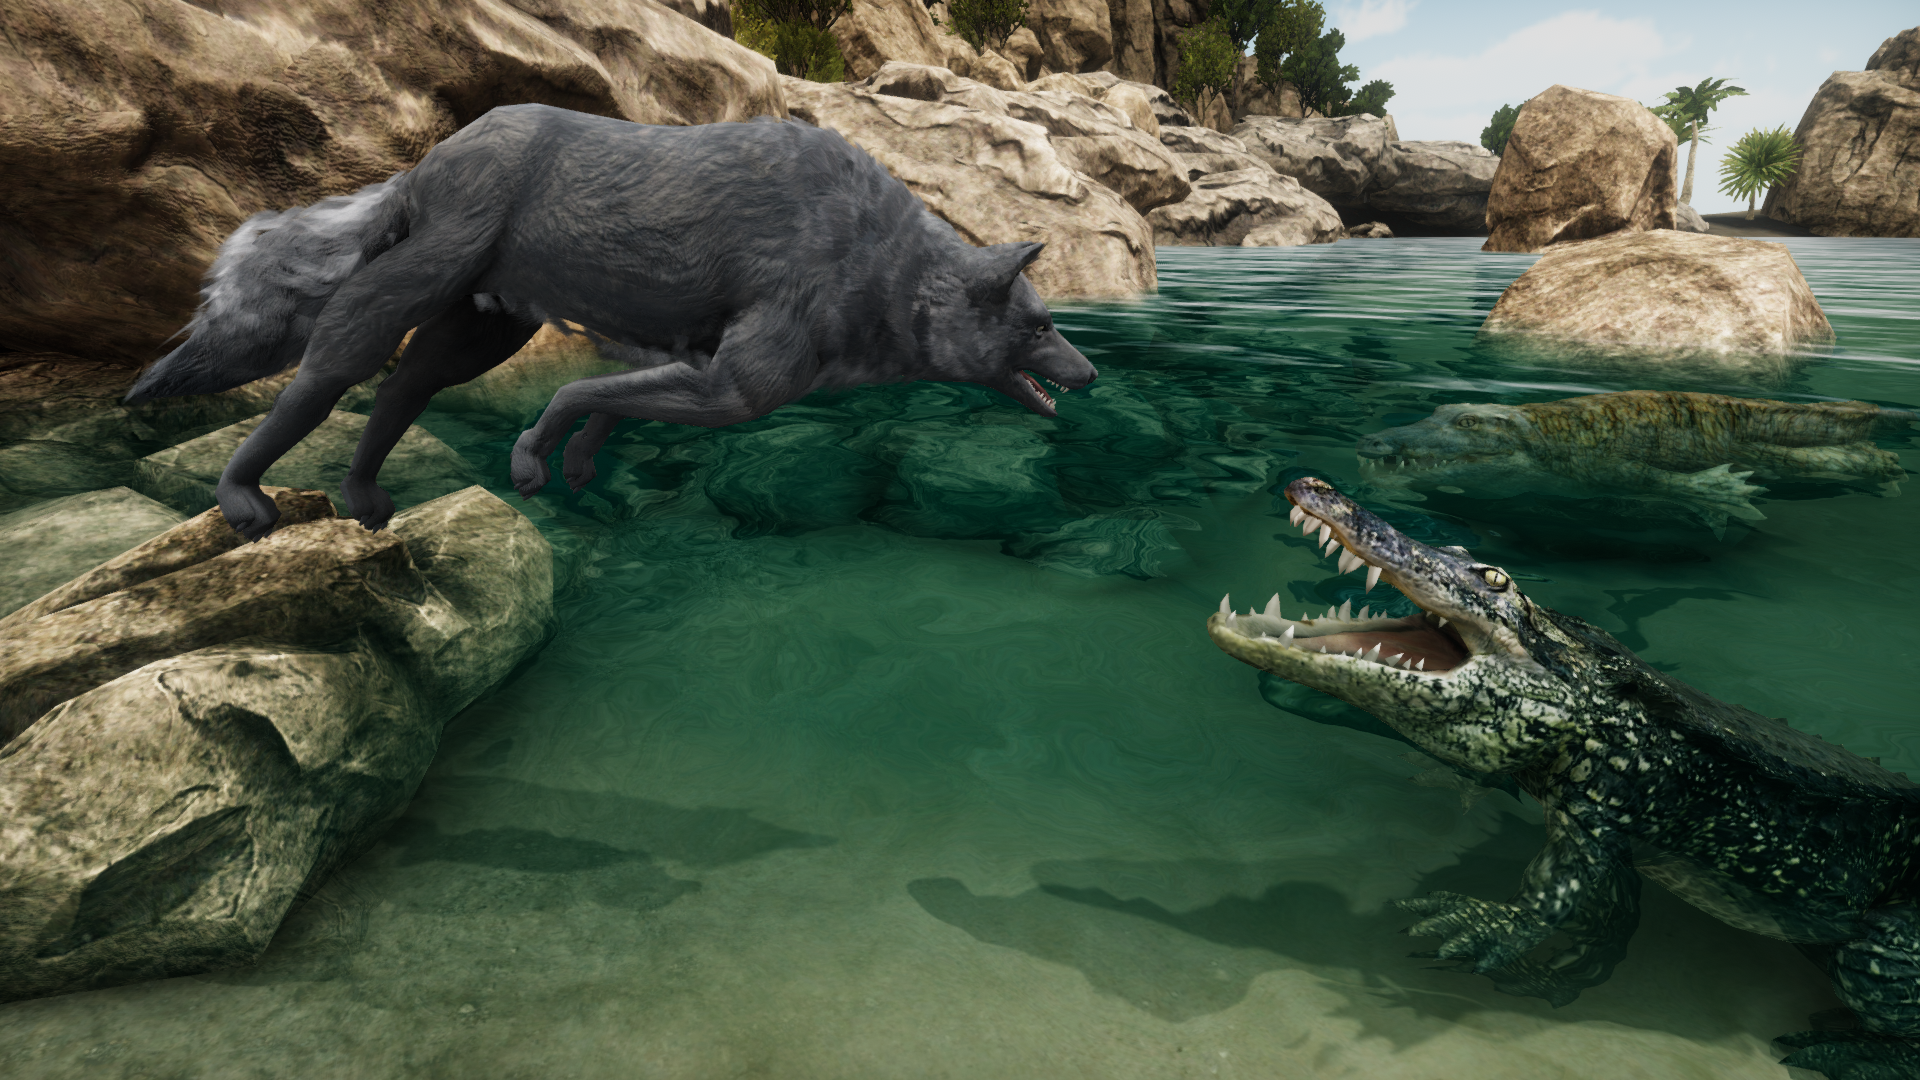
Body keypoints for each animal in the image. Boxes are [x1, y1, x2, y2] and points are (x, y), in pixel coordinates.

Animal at [125, 104, 1099, 541]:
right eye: (1041, 325)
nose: (1093, 376)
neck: (877, 260)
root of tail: (431, 155)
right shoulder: (740, 386)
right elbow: (578, 397)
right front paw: (532, 458)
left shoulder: (694, 365)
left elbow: (608, 402)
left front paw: (578, 463)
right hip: (413, 295)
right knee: (327, 373)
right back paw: (240, 496)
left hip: (478, 334)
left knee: (402, 387)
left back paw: (367, 501)